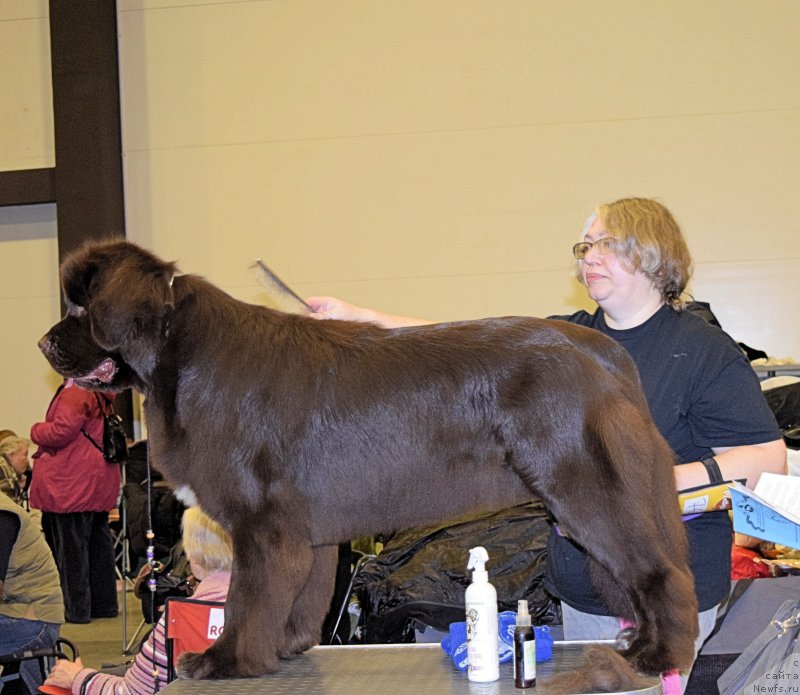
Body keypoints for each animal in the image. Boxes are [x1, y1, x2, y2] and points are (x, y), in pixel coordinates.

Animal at [40, 241, 696, 692]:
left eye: (81, 306)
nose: (44, 344)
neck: (184, 354)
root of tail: (605, 354)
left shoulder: (261, 522)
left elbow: (250, 598)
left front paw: (225, 661)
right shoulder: (303, 530)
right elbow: (300, 596)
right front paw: (287, 649)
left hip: (589, 492)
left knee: (662, 573)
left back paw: (655, 658)